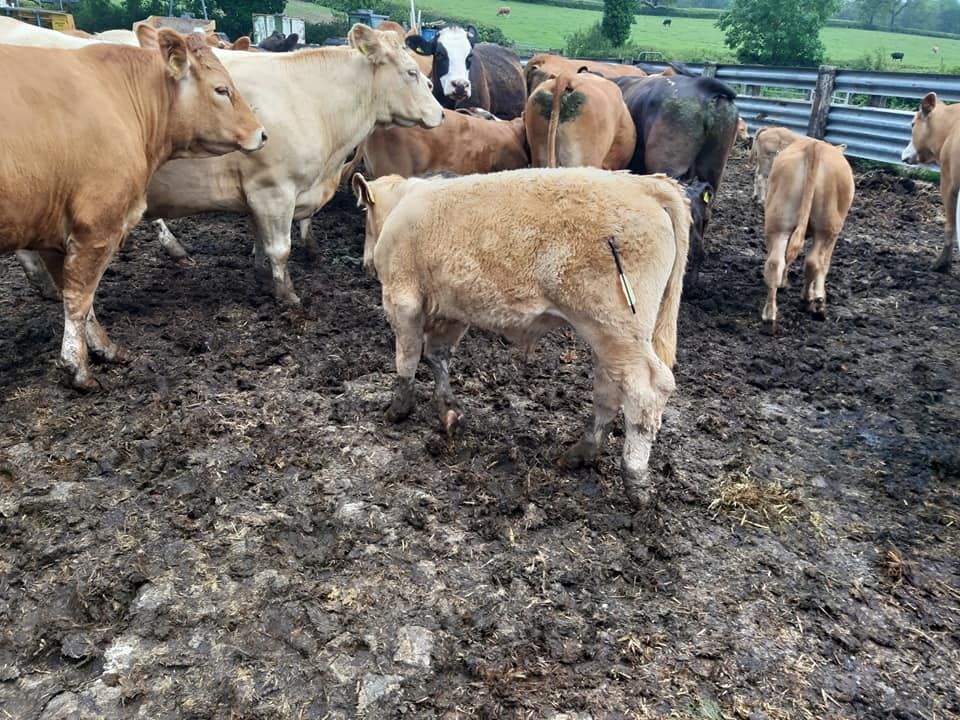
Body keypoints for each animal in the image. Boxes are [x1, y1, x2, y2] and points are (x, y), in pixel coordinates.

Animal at [0, 26, 266, 390]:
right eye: (221, 89)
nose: (262, 133)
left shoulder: (56, 231)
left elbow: (81, 297)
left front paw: (103, 348)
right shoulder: (97, 224)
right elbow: (80, 297)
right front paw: (77, 368)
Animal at [142, 24, 443, 305]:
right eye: (411, 72)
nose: (441, 113)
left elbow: (261, 240)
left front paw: (262, 275)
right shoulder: (272, 191)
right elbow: (279, 248)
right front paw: (287, 295)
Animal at [351, 167, 691, 507]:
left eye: (365, 212)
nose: (366, 263)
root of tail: (644, 184)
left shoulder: (401, 299)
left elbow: (407, 356)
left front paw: (398, 409)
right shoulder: (451, 310)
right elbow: (437, 356)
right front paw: (448, 410)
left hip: (617, 326)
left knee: (648, 389)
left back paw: (635, 479)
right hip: (608, 335)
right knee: (609, 387)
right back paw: (580, 453)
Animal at [762, 137, 855, 325]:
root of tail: (814, 146)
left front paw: (783, 282)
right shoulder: (833, 236)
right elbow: (825, 264)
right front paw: (819, 295)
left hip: (778, 223)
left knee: (774, 263)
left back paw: (769, 313)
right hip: (827, 228)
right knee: (813, 262)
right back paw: (809, 299)